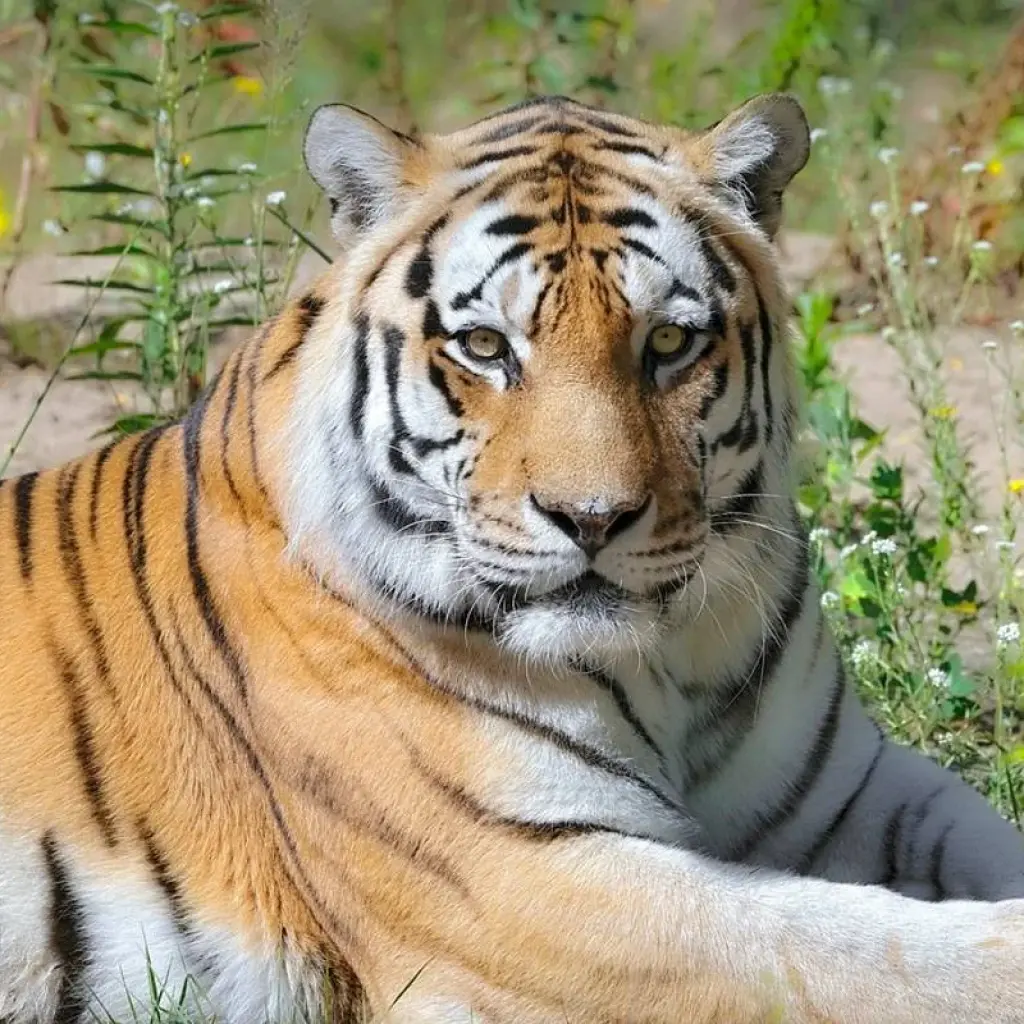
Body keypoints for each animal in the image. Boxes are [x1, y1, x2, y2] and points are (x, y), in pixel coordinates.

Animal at [1, 90, 1023, 1024]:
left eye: (668, 340)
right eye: (487, 346)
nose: (593, 518)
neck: (669, 664)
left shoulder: (852, 793)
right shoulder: (518, 886)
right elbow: (851, 951)